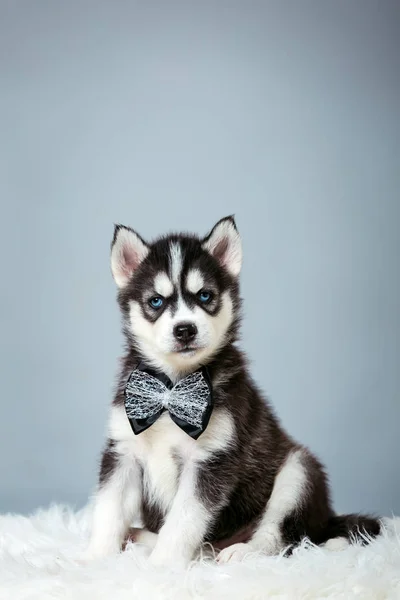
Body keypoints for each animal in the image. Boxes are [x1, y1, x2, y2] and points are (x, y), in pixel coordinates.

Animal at [86, 217, 380, 568]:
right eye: (156, 301)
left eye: (204, 296)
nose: (185, 329)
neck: (172, 388)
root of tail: (325, 520)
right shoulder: (123, 451)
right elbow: (109, 509)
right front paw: (97, 558)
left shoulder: (211, 459)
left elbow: (183, 519)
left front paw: (162, 565)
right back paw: (139, 538)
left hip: (298, 473)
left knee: (281, 535)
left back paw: (243, 551)